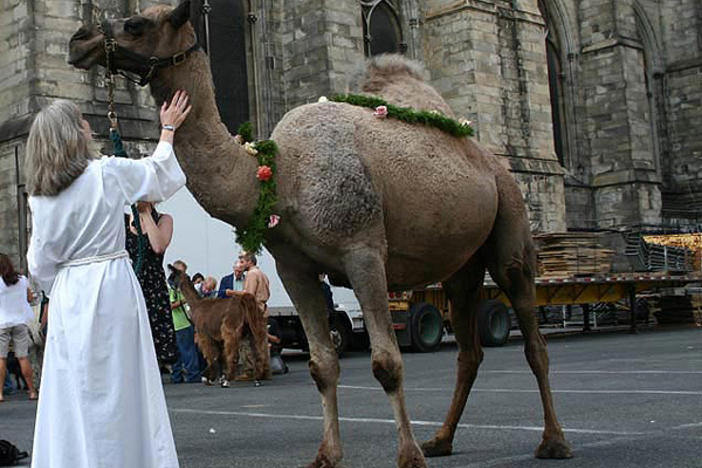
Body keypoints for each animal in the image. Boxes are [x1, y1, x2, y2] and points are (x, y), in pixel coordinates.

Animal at [64, 2, 572, 464]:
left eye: (136, 23)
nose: (79, 40)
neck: (278, 176)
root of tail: (486, 159)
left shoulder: (363, 252)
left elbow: (386, 363)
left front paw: (408, 456)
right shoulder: (295, 267)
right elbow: (320, 365)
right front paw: (327, 455)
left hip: (510, 226)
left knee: (533, 340)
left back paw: (552, 441)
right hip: (462, 263)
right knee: (469, 351)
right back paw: (442, 440)